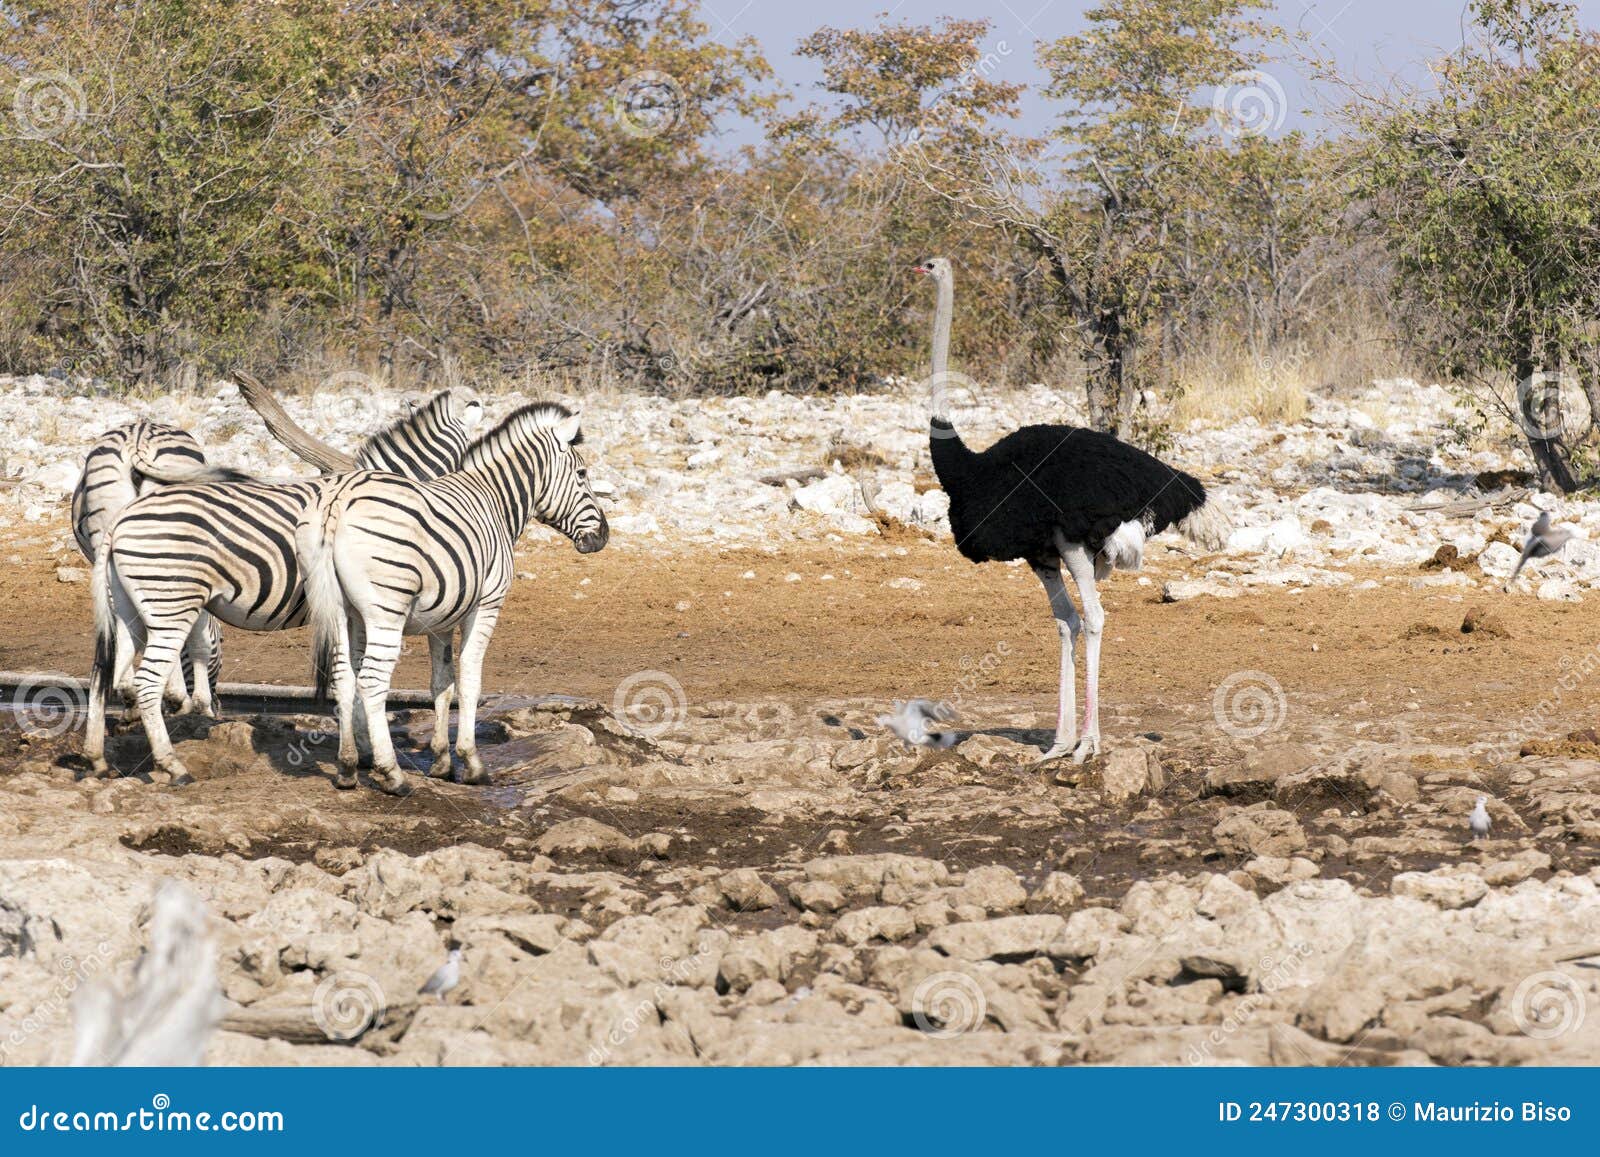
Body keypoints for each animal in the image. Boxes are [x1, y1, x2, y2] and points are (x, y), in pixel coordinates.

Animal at [71, 420, 249, 715]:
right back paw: (174, 696)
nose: (219, 707)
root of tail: (140, 433)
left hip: (110, 530)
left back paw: (129, 692)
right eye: (222, 641)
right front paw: (191, 700)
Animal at [300, 402, 607, 794]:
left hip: (339, 610)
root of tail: (336, 503)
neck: (495, 500)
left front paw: (442, 762)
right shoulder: (487, 604)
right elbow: (470, 680)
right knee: (371, 681)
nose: (603, 536)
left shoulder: (441, 619)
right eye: (582, 473)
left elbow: (442, 685)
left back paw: (347, 768)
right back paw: (392, 774)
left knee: (343, 678)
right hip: (387, 610)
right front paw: (471, 763)